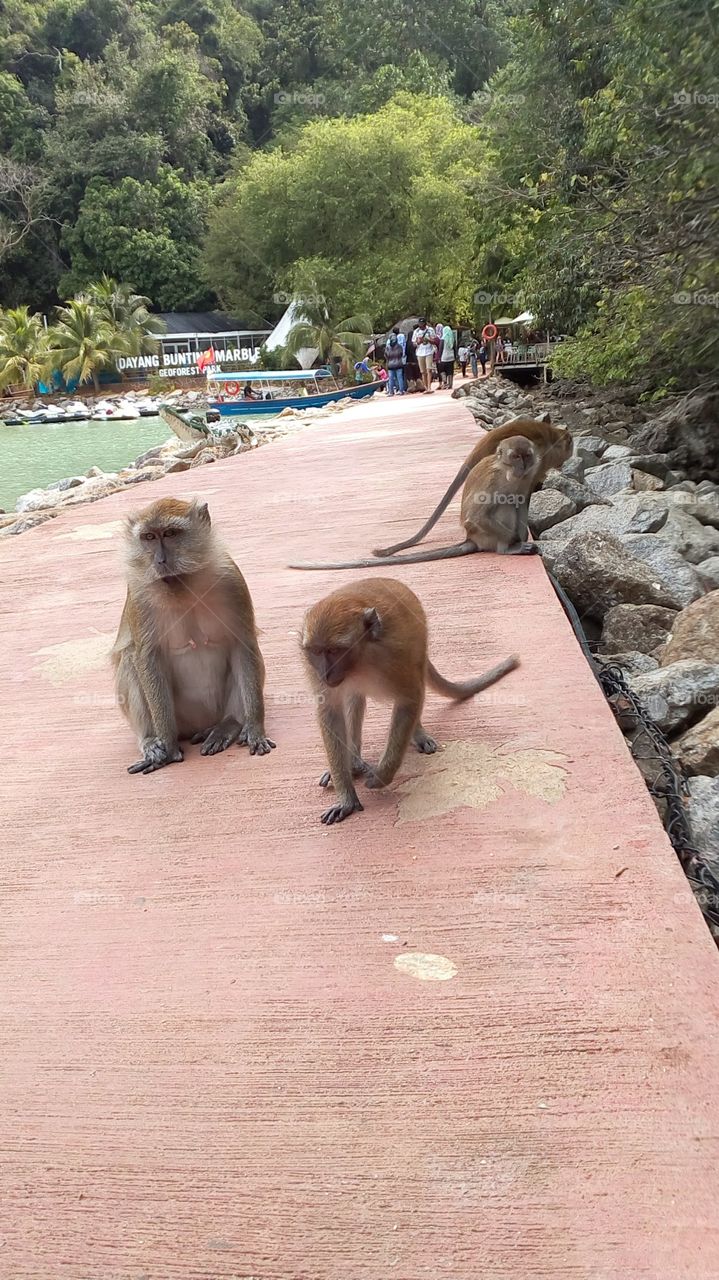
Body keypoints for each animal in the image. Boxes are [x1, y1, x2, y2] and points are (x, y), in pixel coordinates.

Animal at [112, 496, 275, 774]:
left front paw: (254, 728)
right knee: (130, 660)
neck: (184, 586)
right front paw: (166, 746)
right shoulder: (139, 593)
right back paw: (151, 741)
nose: (160, 561)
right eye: (148, 537)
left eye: (170, 534)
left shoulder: (231, 579)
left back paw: (228, 725)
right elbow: (147, 657)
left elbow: (243, 645)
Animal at [288, 435, 543, 570]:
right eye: (515, 456)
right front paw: (516, 541)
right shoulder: (492, 482)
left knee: (514, 504)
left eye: (526, 456)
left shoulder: (527, 479)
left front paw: (523, 537)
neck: (509, 475)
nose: (523, 465)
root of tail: (471, 539)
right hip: (484, 535)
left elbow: (523, 501)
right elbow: (478, 515)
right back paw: (507, 548)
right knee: (502, 506)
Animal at [301, 578, 518, 824]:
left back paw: (417, 732)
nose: (325, 674)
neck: (361, 661)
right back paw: (353, 762)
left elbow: (410, 698)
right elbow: (331, 713)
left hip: (420, 647)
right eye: (316, 651)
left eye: (335, 650)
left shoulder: (396, 656)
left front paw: (382, 775)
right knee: (355, 699)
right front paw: (346, 796)